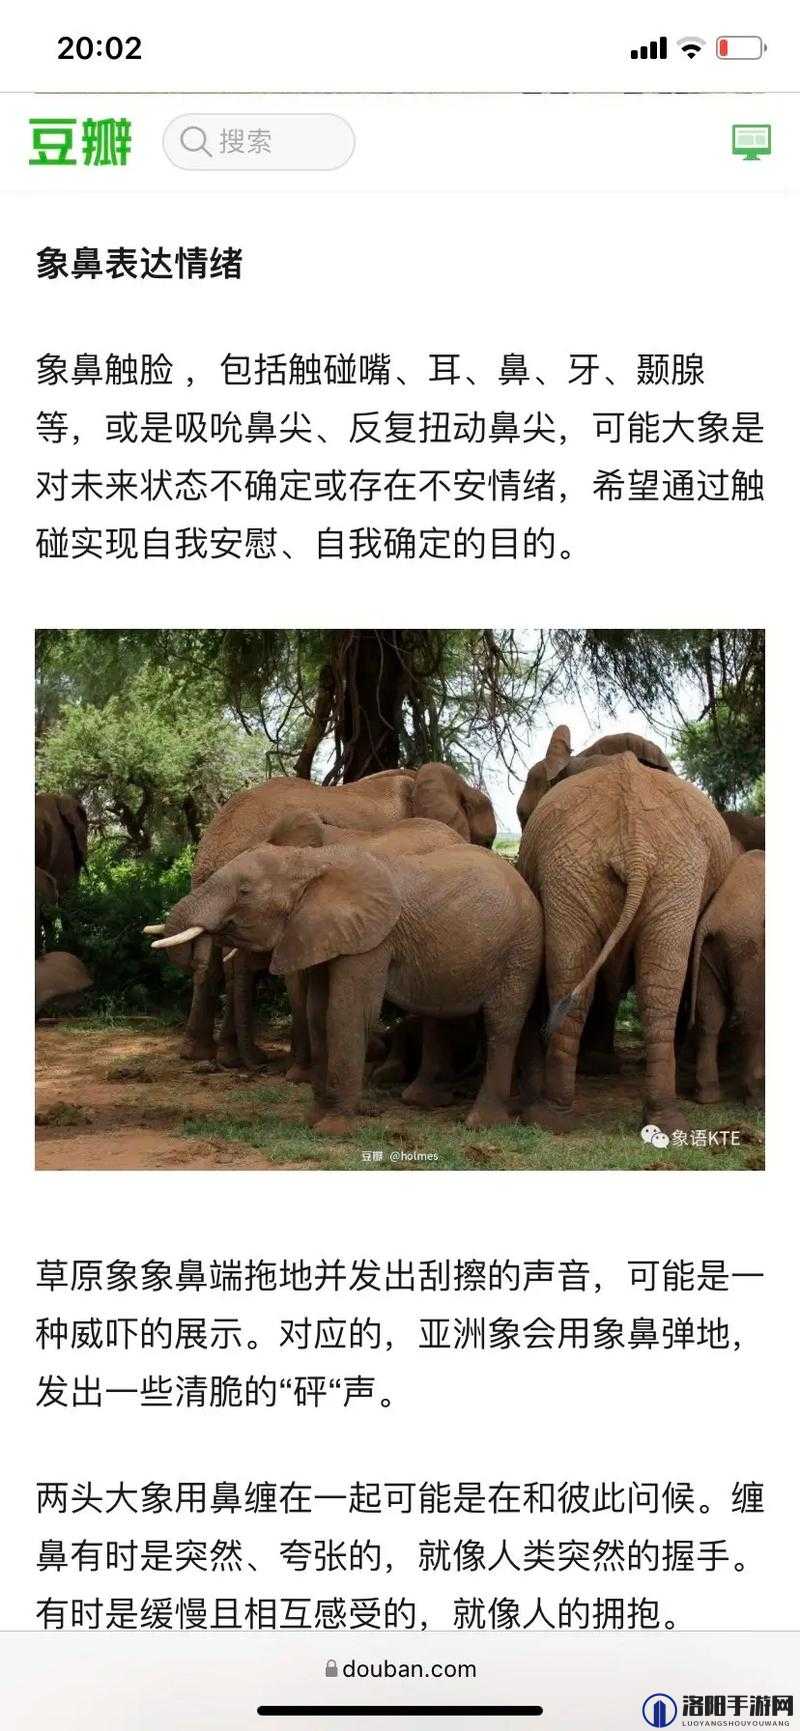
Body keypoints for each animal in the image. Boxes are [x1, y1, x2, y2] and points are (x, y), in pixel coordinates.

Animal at [151, 840, 543, 1134]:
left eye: (244, 891)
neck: (309, 860)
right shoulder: (321, 931)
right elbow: (317, 1012)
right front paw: (312, 1120)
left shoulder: (371, 940)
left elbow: (346, 1011)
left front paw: (333, 1129)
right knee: (444, 1016)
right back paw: (428, 1102)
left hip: (521, 950)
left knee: (502, 1024)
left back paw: (481, 1124)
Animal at [689, 850, 764, 1107]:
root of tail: (711, 921)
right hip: (747, 946)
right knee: (752, 1015)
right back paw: (755, 1099)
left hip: (710, 952)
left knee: (709, 1015)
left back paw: (706, 1097)